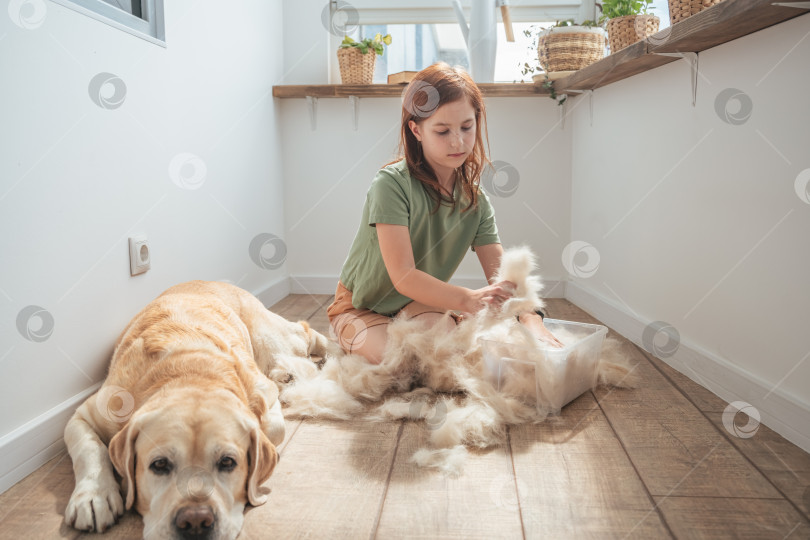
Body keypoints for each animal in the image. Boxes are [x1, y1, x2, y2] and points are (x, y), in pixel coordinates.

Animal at [63, 280, 326, 536]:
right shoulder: (88, 413)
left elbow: (272, 429)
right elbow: (89, 447)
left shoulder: (264, 395)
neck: (188, 372)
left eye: (227, 463)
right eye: (160, 465)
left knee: (305, 334)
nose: (196, 521)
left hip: (268, 339)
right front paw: (94, 497)